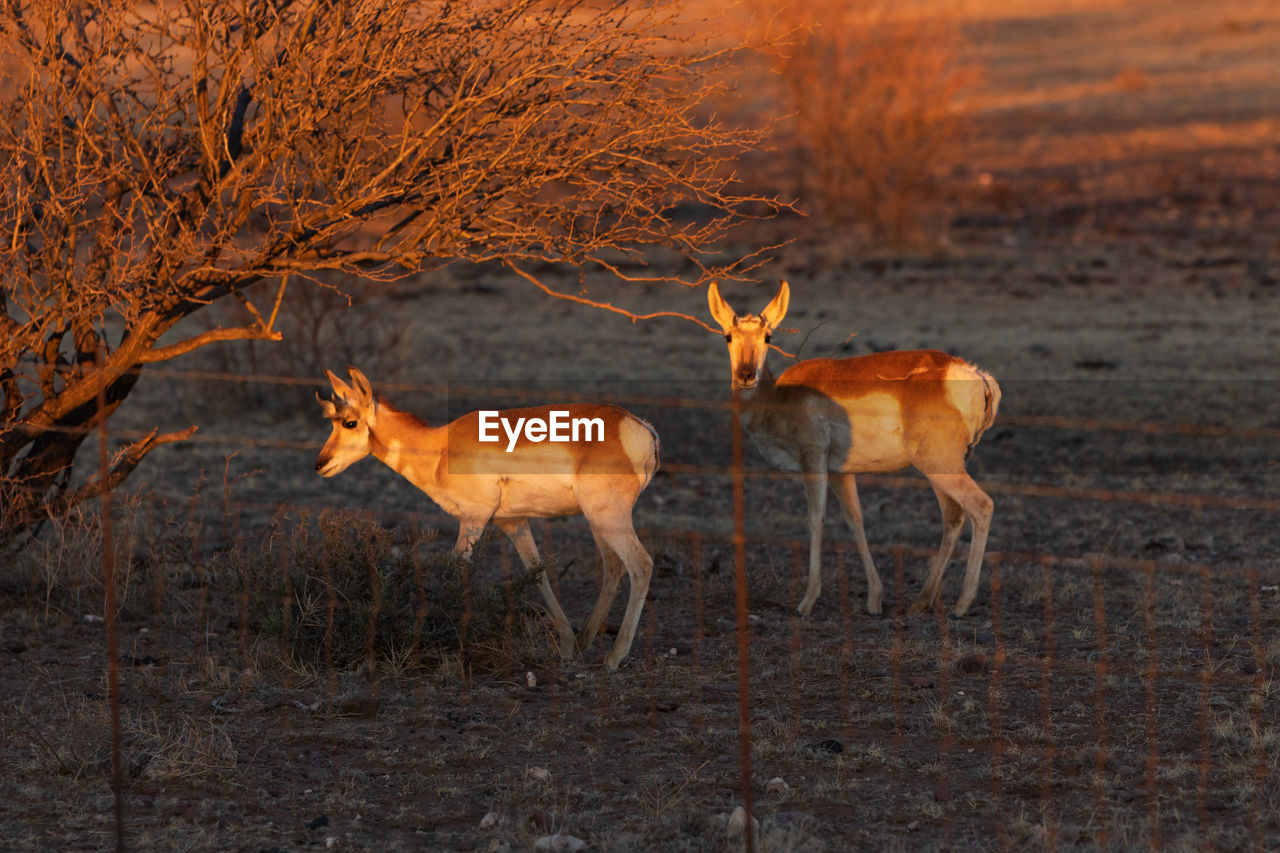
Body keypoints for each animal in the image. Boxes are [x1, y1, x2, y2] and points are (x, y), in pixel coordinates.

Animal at [314, 366, 660, 671]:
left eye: (349, 422)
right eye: (332, 421)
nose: (320, 464)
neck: (440, 446)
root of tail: (638, 427)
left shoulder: (474, 517)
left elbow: (456, 568)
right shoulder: (513, 522)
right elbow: (537, 572)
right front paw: (565, 645)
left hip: (608, 517)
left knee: (641, 564)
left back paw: (614, 657)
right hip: (598, 520)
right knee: (614, 568)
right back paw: (587, 639)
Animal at [711, 281, 998, 614]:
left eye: (767, 336)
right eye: (728, 336)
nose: (746, 375)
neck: (779, 398)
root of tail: (974, 374)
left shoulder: (812, 459)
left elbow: (816, 519)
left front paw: (807, 601)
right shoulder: (840, 473)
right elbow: (855, 521)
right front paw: (874, 599)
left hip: (939, 465)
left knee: (981, 506)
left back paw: (962, 603)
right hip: (939, 470)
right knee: (953, 517)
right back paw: (920, 602)